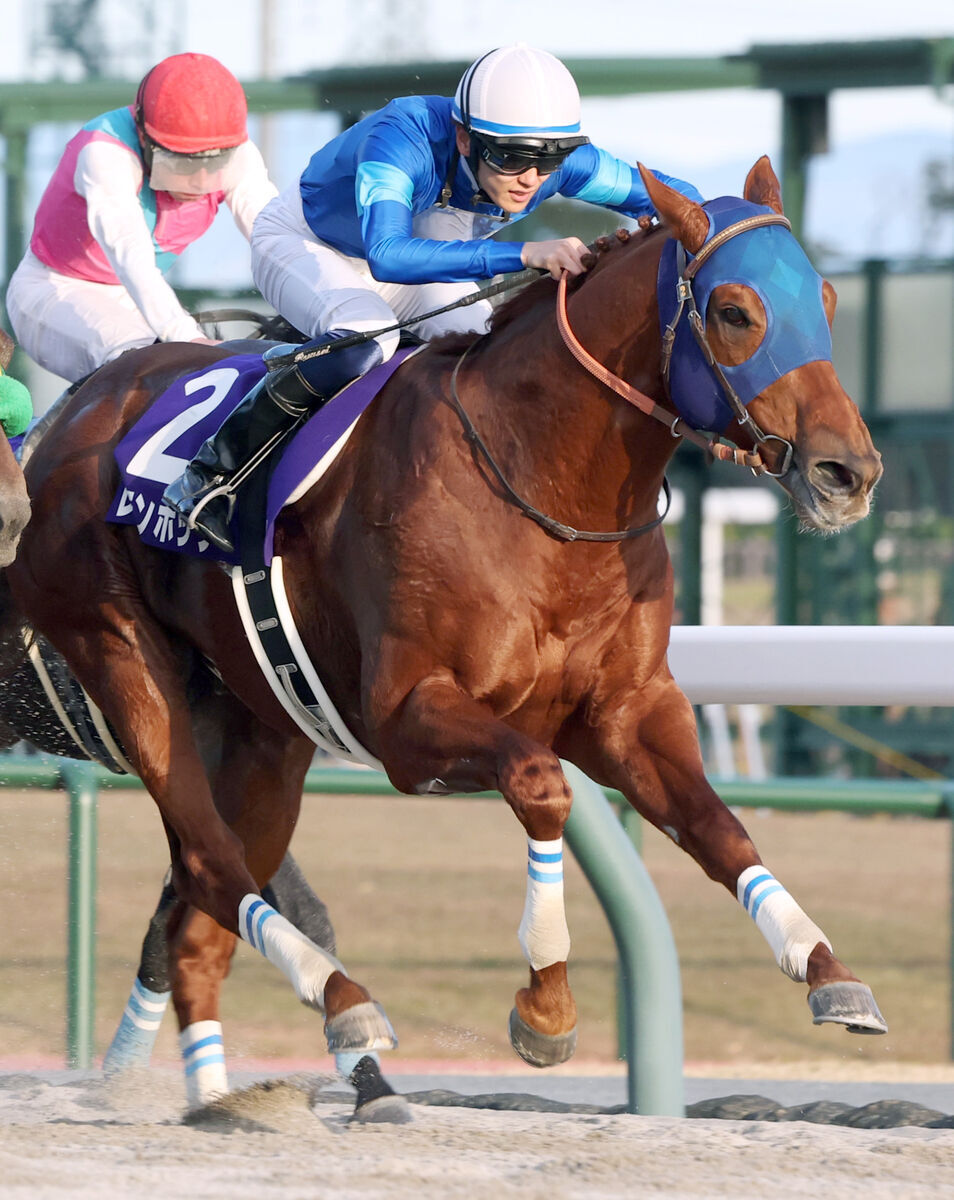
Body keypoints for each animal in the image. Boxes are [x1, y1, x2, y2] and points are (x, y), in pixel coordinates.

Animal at [4, 157, 885, 1116]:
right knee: (205, 857)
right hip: (119, 650)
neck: (543, 480)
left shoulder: (625, 712)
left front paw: (830, 972)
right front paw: (546, 1009)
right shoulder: (407, 719)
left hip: (264, 727)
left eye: (827, 298)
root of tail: (78, 410)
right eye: (734, 310)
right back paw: (345, 1007)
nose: (849, 472)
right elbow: (541, 786)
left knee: (198, 927)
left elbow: (719, 828)